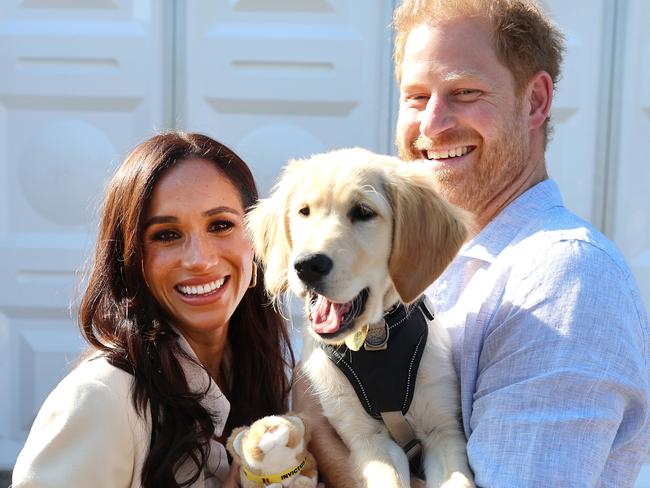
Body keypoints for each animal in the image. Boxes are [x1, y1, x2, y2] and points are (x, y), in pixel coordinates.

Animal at [246, 149, 474, 488]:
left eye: (363, 212)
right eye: (303, 211)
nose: (307, 265)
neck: (377, 338)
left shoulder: (444, 430)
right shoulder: (367, 439)